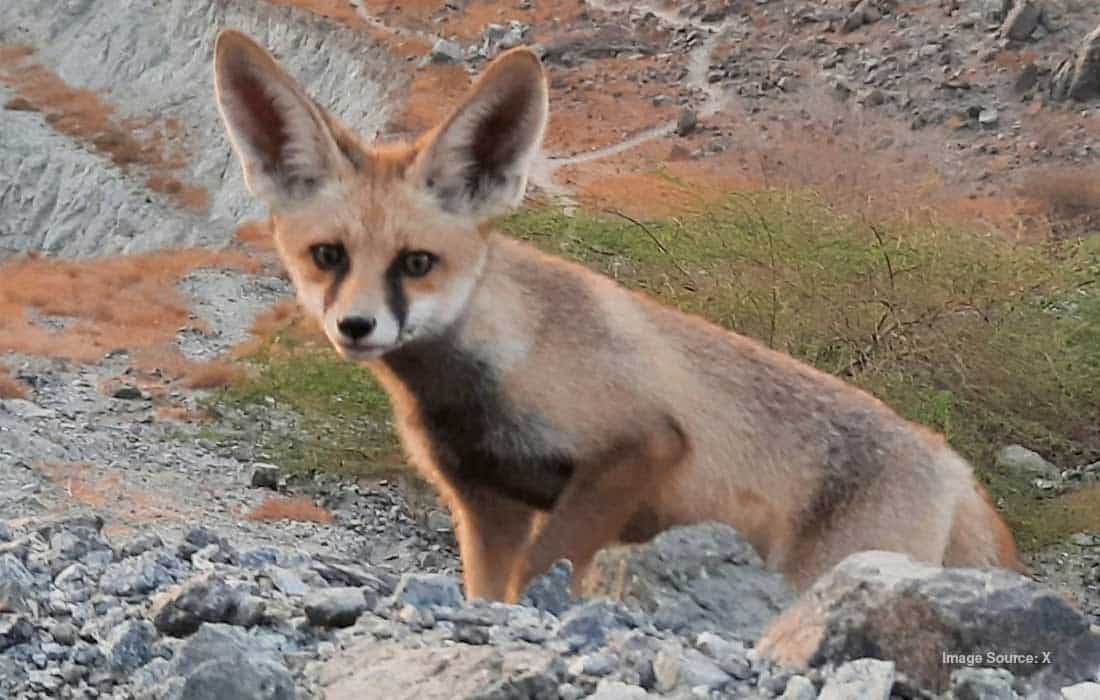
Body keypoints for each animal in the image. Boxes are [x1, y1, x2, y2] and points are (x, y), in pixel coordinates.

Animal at [212, 30, 1023, 602]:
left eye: (416, 263)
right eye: (328, 256)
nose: (356, 328)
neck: (485, 382)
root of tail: (950, 459)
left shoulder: (640, 447)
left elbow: (542, 574)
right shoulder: (486, 501)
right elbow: (491, 594)